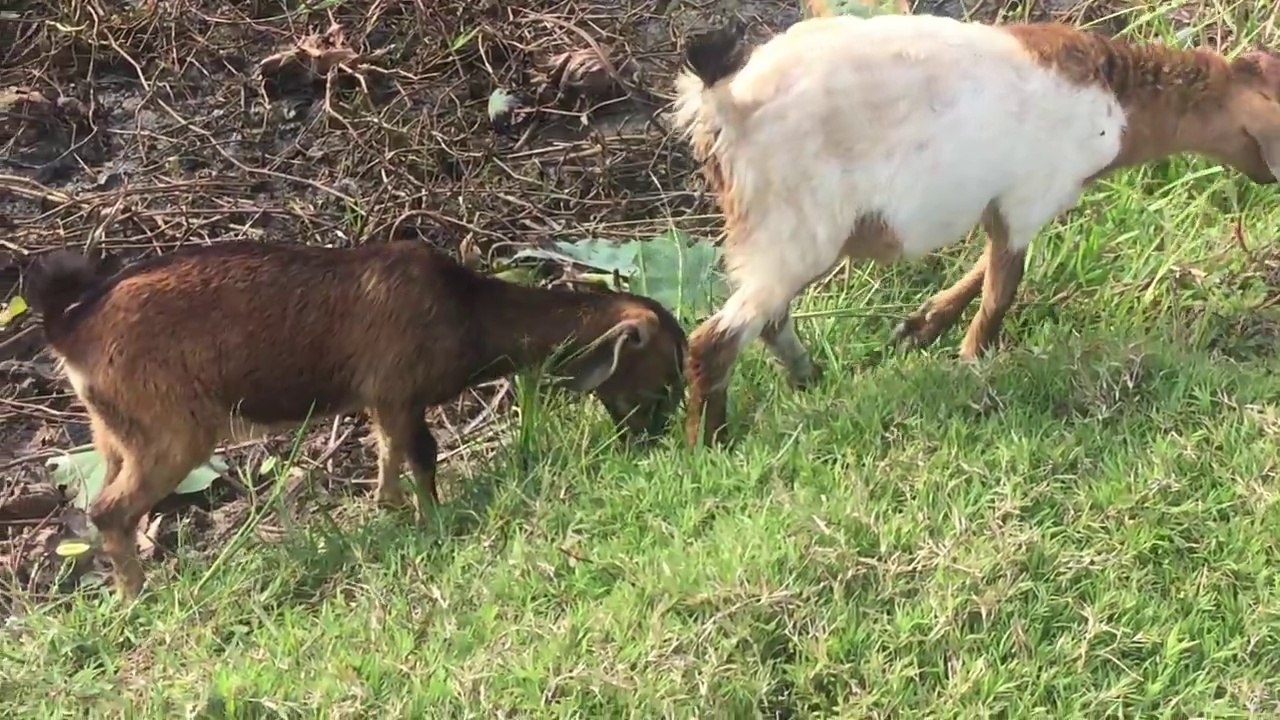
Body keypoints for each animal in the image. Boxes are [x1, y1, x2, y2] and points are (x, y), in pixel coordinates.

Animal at [25, 240, 687, 597]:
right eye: (664, 374)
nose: (657, 439)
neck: (468, 311)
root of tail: (70, 330)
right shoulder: (400, 387)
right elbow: (422, 454)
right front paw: (435, 520)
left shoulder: (380, 398)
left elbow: (387, 450)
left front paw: (387, 507)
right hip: (173, 429)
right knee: (110, 509)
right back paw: (137, 595)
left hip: (113, 430)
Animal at [673, 14, 1280, 447]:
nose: (1272, 177)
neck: (1120, 101)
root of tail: (725, 105)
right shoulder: (1030, 197)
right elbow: (1001, 291)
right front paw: (970, 364)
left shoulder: (1004, 206)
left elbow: (984, 267)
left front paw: (920, 327)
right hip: (796, 230)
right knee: (715, 339)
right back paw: (709, 444)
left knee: (769, 321)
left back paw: (808, 379)